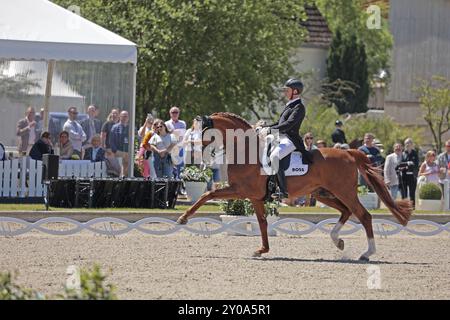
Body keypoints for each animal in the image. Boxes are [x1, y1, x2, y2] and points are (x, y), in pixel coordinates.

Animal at [177, 112, 412, 260]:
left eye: (202, 131)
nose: (192, 152)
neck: (246, 150)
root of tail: (349, 153)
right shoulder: (254, 197)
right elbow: (262, 223)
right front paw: (262, 250)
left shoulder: (240, 190)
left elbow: (207, 194)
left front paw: (183, 218)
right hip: (323, 193)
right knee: (346, 212)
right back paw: (338, 241)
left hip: (343, 191)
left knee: (363, 216)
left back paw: (367, 253)